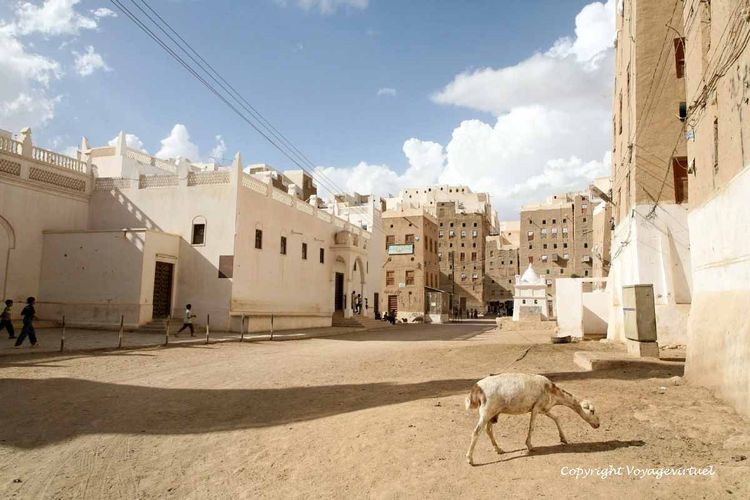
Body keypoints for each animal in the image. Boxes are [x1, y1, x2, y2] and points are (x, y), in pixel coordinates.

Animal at [464, 373, 600, 465]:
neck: (553, 393)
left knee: (488, 430)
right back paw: (470, 459)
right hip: (486, 411)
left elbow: (556, 418)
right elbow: (532, 426)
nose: (598, 424)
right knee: (476, 432)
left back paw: (499, 449)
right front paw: (529, 445)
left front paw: (563, 439)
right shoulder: (536, 407)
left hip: (492, 413)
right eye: (592, 411)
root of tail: (476, 389)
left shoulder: (544, 409)